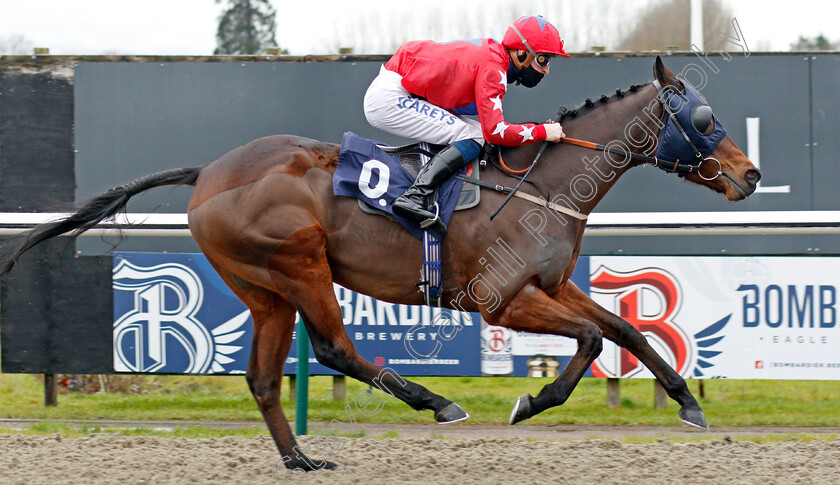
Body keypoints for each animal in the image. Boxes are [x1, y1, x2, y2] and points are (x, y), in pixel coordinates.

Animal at [0, 55, 760, 468]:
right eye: (702, 118)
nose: (750, 174)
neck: (542, 180)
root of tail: (209, 171)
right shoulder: (500, 297)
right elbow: (593, 340)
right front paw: (531, 400)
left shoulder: (548, 283)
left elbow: (625, 330)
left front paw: (688, 403)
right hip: (300, 264)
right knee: (334, 348)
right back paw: (438, 402)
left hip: (263, 290)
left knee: (263, 378)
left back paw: (302, 459)